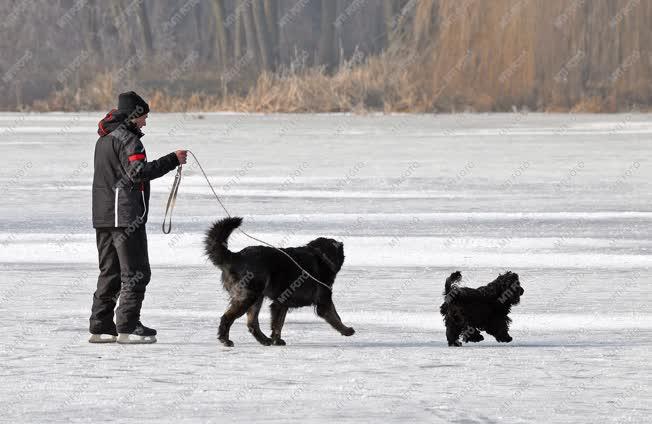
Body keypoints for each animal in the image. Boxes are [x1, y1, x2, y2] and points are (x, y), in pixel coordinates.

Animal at [205, 217, 354, 346]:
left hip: (256, 298)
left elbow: (278, 323)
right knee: (227, 318)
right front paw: (346, 330)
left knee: (252, 323)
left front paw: (276, 340)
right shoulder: (324, 301)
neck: (321, 256)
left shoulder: (281, 303)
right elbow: (336, 317)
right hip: (247, 297)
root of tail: (235, 256)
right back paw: (225, 340)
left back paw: (264, 340)